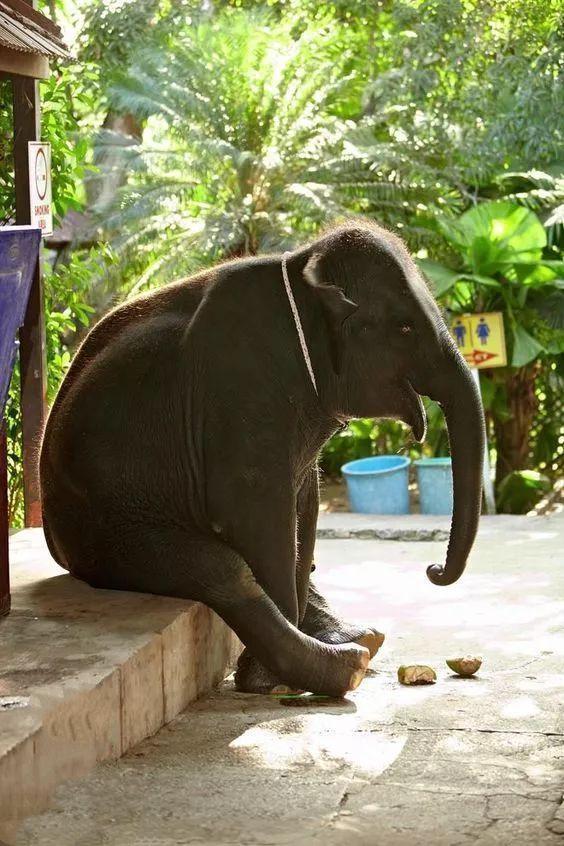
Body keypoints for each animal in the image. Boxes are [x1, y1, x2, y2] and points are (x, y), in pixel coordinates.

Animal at [39, 222, 484, 700]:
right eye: (404, 327)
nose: (433, 569)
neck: (301, 266)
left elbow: (304, 509)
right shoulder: (240, 388)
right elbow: (259, 516)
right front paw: (268, 684)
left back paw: (363, 639)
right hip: (102, 533)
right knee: (222, 570)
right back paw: (345, 666)